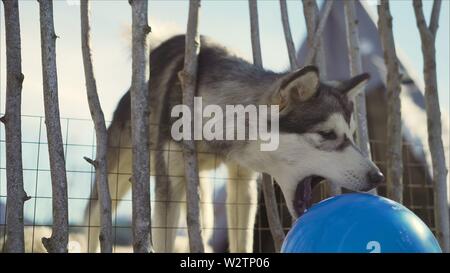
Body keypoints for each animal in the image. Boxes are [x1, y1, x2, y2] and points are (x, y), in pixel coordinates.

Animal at [86, 35, 384, 252]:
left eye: (352, 136)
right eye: (327, 134)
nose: (378, 176)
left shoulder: (243, 182)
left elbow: (241, 237)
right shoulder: (169, 187)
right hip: (117, 173)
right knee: (94, 218)